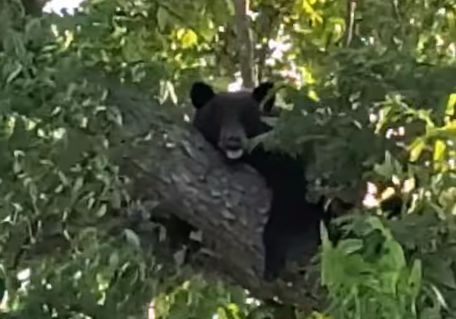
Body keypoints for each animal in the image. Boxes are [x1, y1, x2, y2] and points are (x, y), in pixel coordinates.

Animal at [190, 81, 328, 282]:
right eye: (217, 114)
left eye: (246, 115)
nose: (233, 140)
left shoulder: (285, 153)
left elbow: (294, 196)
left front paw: (274, 258)